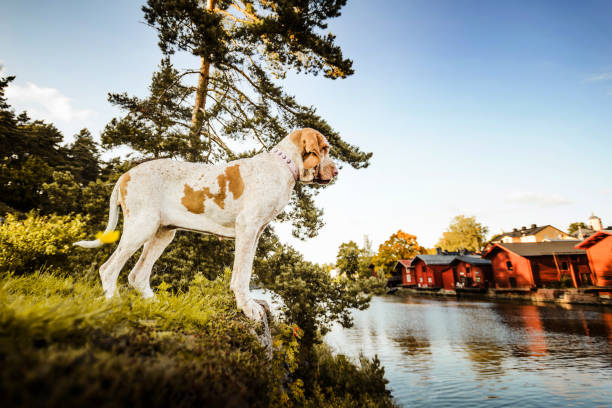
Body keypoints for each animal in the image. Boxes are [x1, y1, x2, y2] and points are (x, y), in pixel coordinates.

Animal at [75, 129, 340, 320]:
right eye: (325, 149)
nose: (336, 171)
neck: (283, 165)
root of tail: (125, 175)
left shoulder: (254, 234)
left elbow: (243, 270)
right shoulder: (248, 229)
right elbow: (243, 274)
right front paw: (248, 307)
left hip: (162, 234)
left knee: (137, 274)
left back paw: (156, 304)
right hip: (141, 228)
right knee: (108, 269)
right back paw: (114, 304)